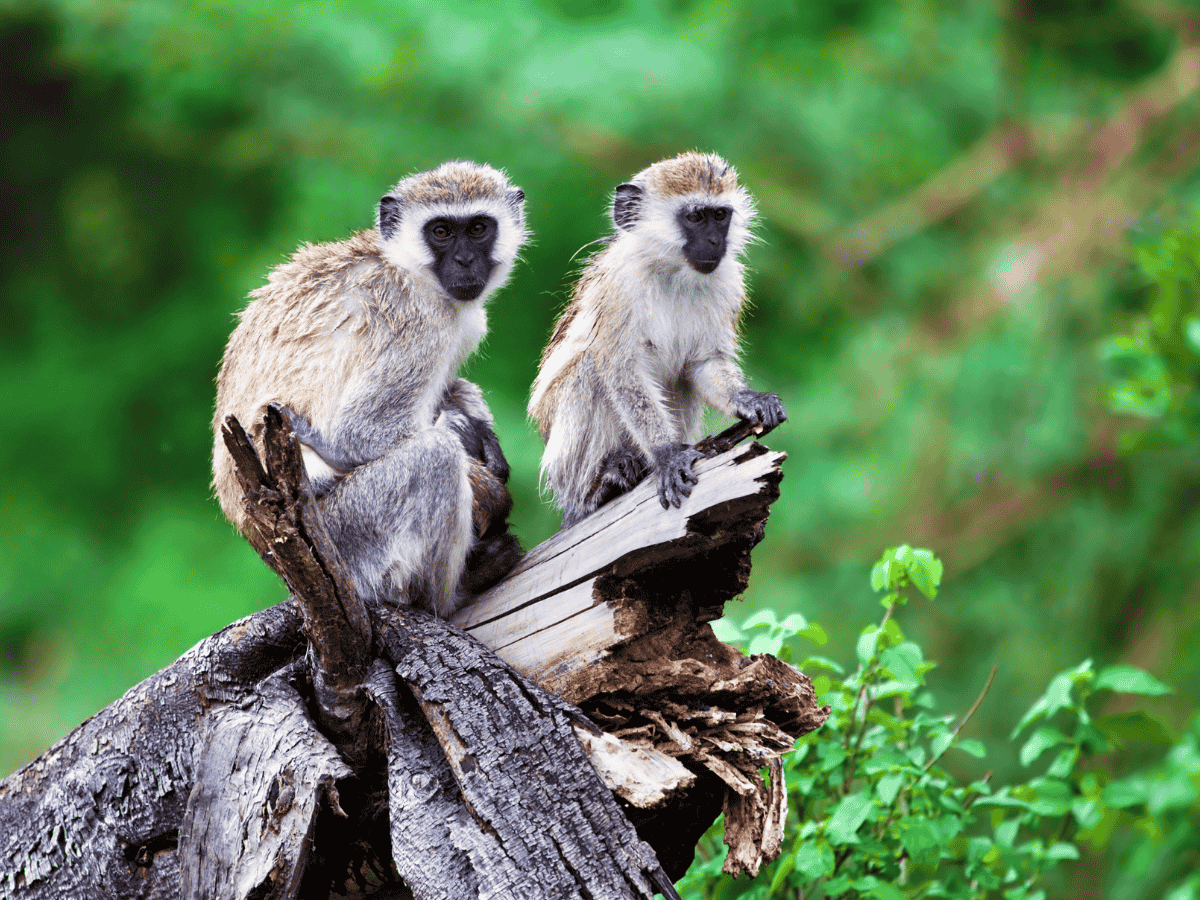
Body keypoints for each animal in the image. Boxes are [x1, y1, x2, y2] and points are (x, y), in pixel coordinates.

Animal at [213, 160, 527, 617]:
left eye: (478, 228)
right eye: (441, 231)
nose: (466, 260)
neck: (405, 266)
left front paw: (482, 436)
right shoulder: (417, 324)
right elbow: (359, 432)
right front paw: (474, 455)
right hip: (350, 539)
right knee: (433, 457)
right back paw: (451, 595)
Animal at [528, 151, 786, 527]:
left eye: (720, 216)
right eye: (695, 216)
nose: (715, 243)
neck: (672, 272)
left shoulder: (727, 281)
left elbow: (703, 363)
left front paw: (745, 399)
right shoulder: (620, 287)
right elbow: (620, 371)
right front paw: (666, 454)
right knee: (589, 370)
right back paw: (600, 485)